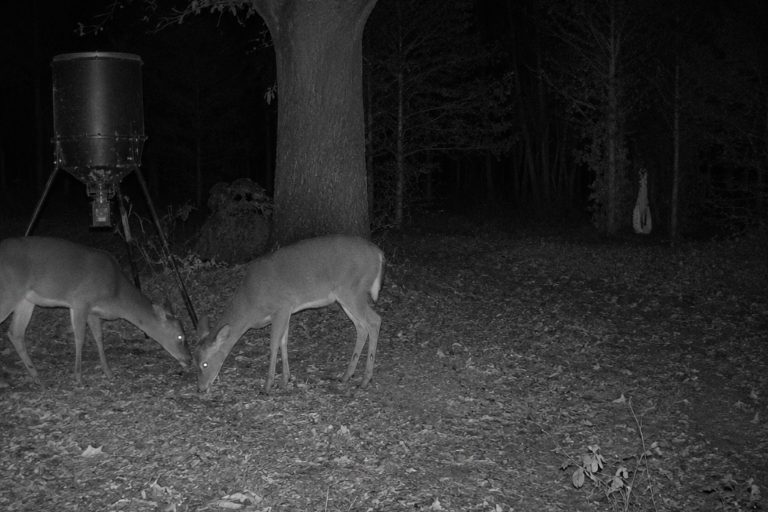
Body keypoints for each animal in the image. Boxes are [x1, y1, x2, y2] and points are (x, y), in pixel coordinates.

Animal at [0, 236, 191, 385]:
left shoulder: (93, 310)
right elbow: (80, 337)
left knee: (15, 333)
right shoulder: (80, 301)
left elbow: (99, 337)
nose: (189, 360)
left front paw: (108, 372)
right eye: (180, 337)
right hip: (8, 292)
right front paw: (78, 377)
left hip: (25, 300)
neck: (115, 293)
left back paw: (37, 377)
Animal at [195, 235, 384, 394]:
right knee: (361, 327)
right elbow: (283, 342)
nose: (201, 388)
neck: (251, 304)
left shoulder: (281, 307)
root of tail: (379, 253)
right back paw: (346, 376)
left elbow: (273, 344)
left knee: (374, 321)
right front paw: (285, 380)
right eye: (195, 362)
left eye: (204, 364)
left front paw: (268, 385)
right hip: (345, 296)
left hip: (352, 290)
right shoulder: (286, 311)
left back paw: (365, 380)